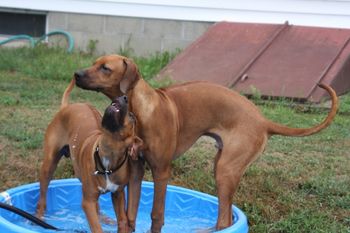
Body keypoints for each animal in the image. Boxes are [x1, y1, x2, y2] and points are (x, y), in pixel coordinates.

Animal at [36, 78, 143, 233]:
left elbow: (122, 221)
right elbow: (97, 228)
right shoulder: (88, 202)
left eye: (131, 116)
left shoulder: (118, 195)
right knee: (42, 199)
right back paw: (38, 218)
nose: (124, 97)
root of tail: (66, 107)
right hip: (49, 165)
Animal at [74, 54, 340, 231]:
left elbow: (156, 214)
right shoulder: (137, 170)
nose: (76, 74)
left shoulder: (161, 171)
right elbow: (131, 213)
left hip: (226, 170)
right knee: (224, 216)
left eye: (105, 68)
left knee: (224, 219)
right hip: (221, 164)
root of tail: (263, 119)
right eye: (94, 63)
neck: (141, 110)